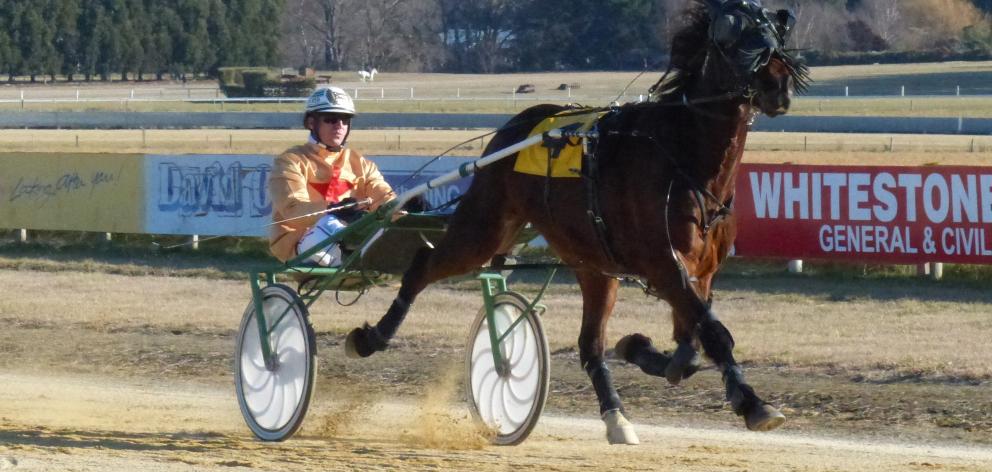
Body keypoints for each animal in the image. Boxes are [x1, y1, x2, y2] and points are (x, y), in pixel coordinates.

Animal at [344, 0, 808, 444]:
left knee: (590, 346)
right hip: (484, 227)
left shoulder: (701, 272)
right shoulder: (664, 264)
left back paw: (616, 416)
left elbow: (690, 346)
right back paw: (372, 337)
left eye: (775, 31)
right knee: (423, 267)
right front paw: (753, 404)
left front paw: (640, 348)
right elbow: (712, 334)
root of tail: (512, 128)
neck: (683, 158)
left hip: (593, 265)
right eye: (733, 36)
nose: (779, 84)